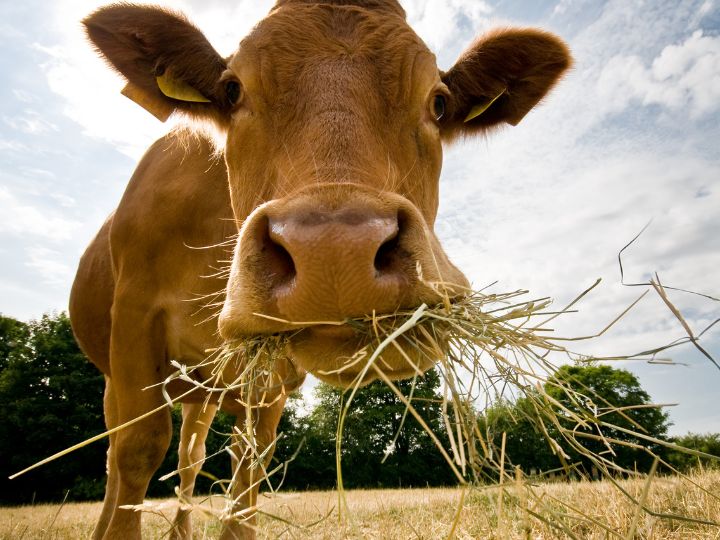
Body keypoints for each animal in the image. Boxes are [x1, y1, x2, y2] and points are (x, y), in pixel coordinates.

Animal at [69, 0, 572, 536]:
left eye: (438, 103)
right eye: (232, 90)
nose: (334, 254)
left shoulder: (270, 379)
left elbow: (248, 468)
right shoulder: (133, 320)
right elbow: (137, 449)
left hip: (203, 391)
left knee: (191, 458)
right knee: (121, 456)